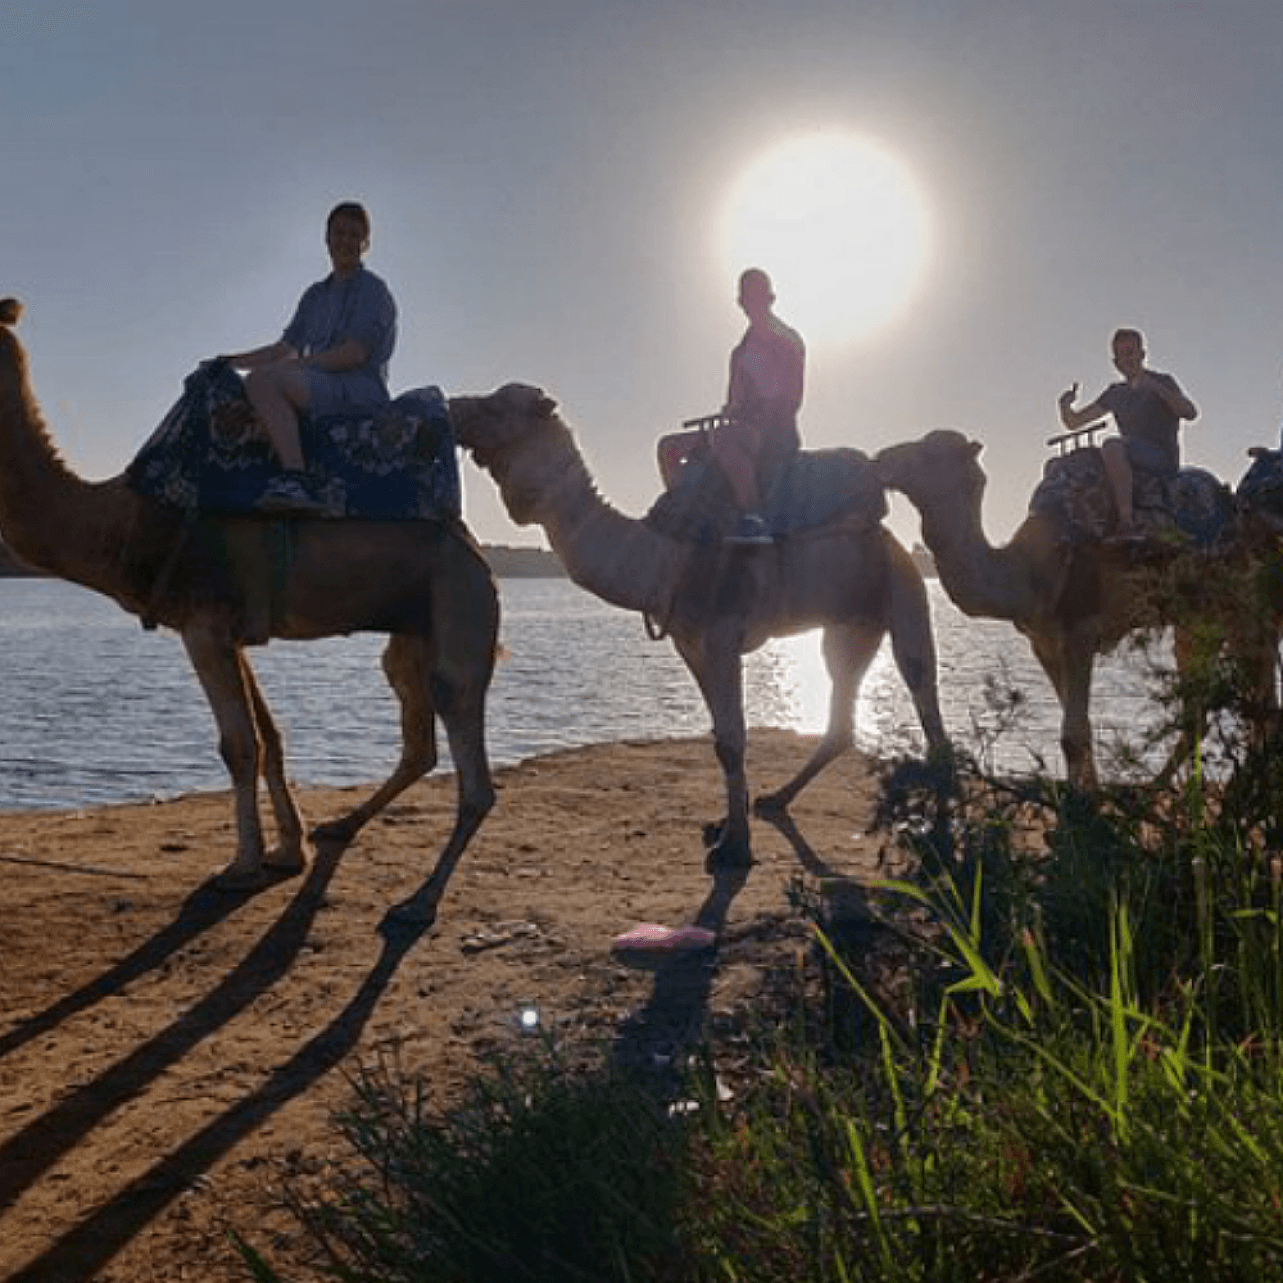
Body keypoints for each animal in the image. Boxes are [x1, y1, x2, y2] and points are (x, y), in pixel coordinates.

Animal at [0, 299, 498, 924]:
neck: (126, 523)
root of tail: (476, 549)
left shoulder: (204, 626)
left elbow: (238, 747)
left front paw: (240, 866)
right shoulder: (230, 630)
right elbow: (270, 736)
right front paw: (288, 850)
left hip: (459, 603)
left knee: (472, 766)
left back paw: (420, 901)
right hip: (413, 629)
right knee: (418, 741)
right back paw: (341, 826)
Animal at [448, 383, 950, 869]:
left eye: (497, 405)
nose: (452, 406)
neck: (662, 556)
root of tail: (889, 531)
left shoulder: (723, 633)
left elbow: (732, 740)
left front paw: (734, 849)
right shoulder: (689, 641)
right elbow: (718, 737)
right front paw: (725, 827)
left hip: (903, 588)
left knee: (923, 691)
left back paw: (939, 838)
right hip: (850, 626)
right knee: (842, 715)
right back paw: (775, 798)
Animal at [874, 429, 1271, 789]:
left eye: (928, 453)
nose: (882, 459)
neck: (1031, 569)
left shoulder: (1080, 630)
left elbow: (1072, 736)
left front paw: (1083, 804)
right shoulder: (1043, 641)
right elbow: (1077, 727)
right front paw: (1088, 790)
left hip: (1240, 608)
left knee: (1259, 700)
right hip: (1196, 619)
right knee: (1207, 710)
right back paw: (1156, 789)